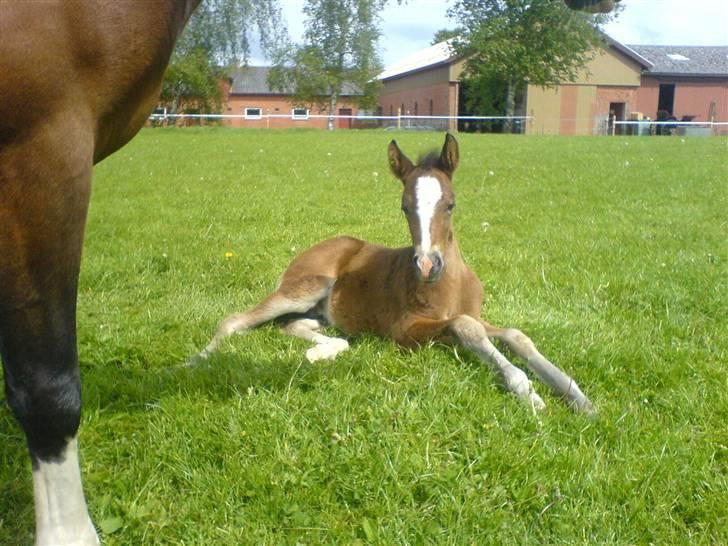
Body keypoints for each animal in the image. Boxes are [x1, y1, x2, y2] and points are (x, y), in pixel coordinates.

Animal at [196, 135, 596, 412]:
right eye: (404, 206)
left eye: (451, 204)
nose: (427, 264)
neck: (450, 285)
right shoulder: (405, 330)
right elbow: (467, 328)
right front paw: (528, 392)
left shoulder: (475, 314)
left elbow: (514, 334)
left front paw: (578, 397)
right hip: (307, 286)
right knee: (234, 320)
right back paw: (196, 361)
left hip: (319, 312)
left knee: (295, 327)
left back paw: (321, 352)